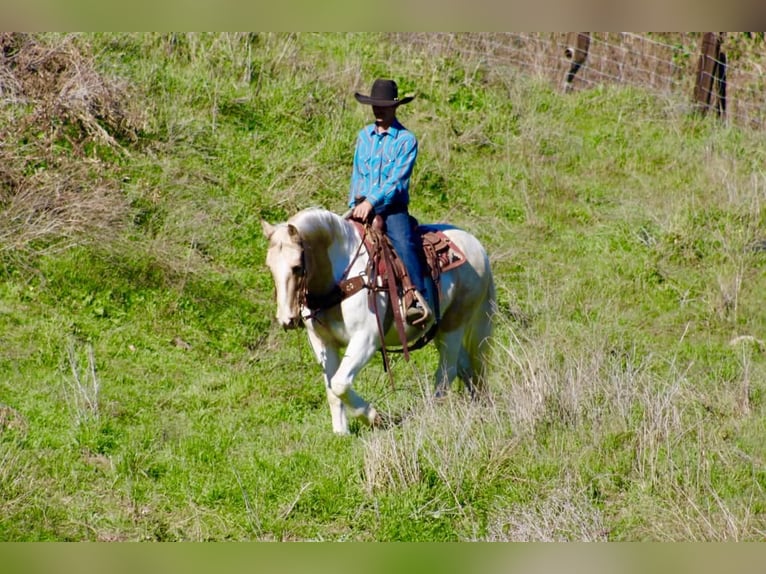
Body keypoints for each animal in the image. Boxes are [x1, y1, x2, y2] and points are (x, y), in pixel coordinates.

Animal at [261, 207, 495, 435]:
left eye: (297, 266)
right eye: (270, 267)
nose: (286, 318)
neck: (339, 281)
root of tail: (476, 246)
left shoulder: (366, 339)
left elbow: (340, 383)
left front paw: (374, 418)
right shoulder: (322, 343)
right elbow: (332, 390)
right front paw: (341, 433)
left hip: (454, 324)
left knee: (448, 371)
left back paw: (432, 413)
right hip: (442, 328)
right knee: (465, 366)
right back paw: (479, 406)